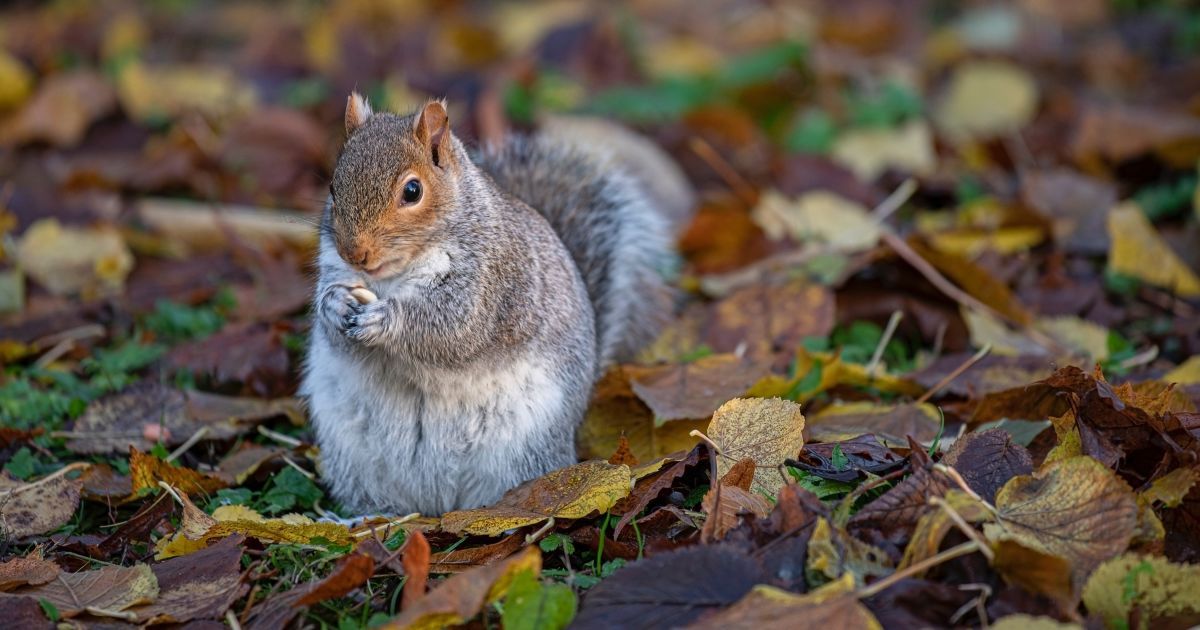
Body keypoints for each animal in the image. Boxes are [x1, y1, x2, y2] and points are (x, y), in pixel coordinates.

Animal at [301, 94, 692, 516]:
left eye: (412, 191)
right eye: (334, 187)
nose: (355, 253)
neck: (393, 276)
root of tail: (439, 504)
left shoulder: (491, 283)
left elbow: (452, 329)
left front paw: (385, 320)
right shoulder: (333, 266)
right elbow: (334, 328)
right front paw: (335, 304)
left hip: (521, 452)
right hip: (354, 458)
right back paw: (367, 519)